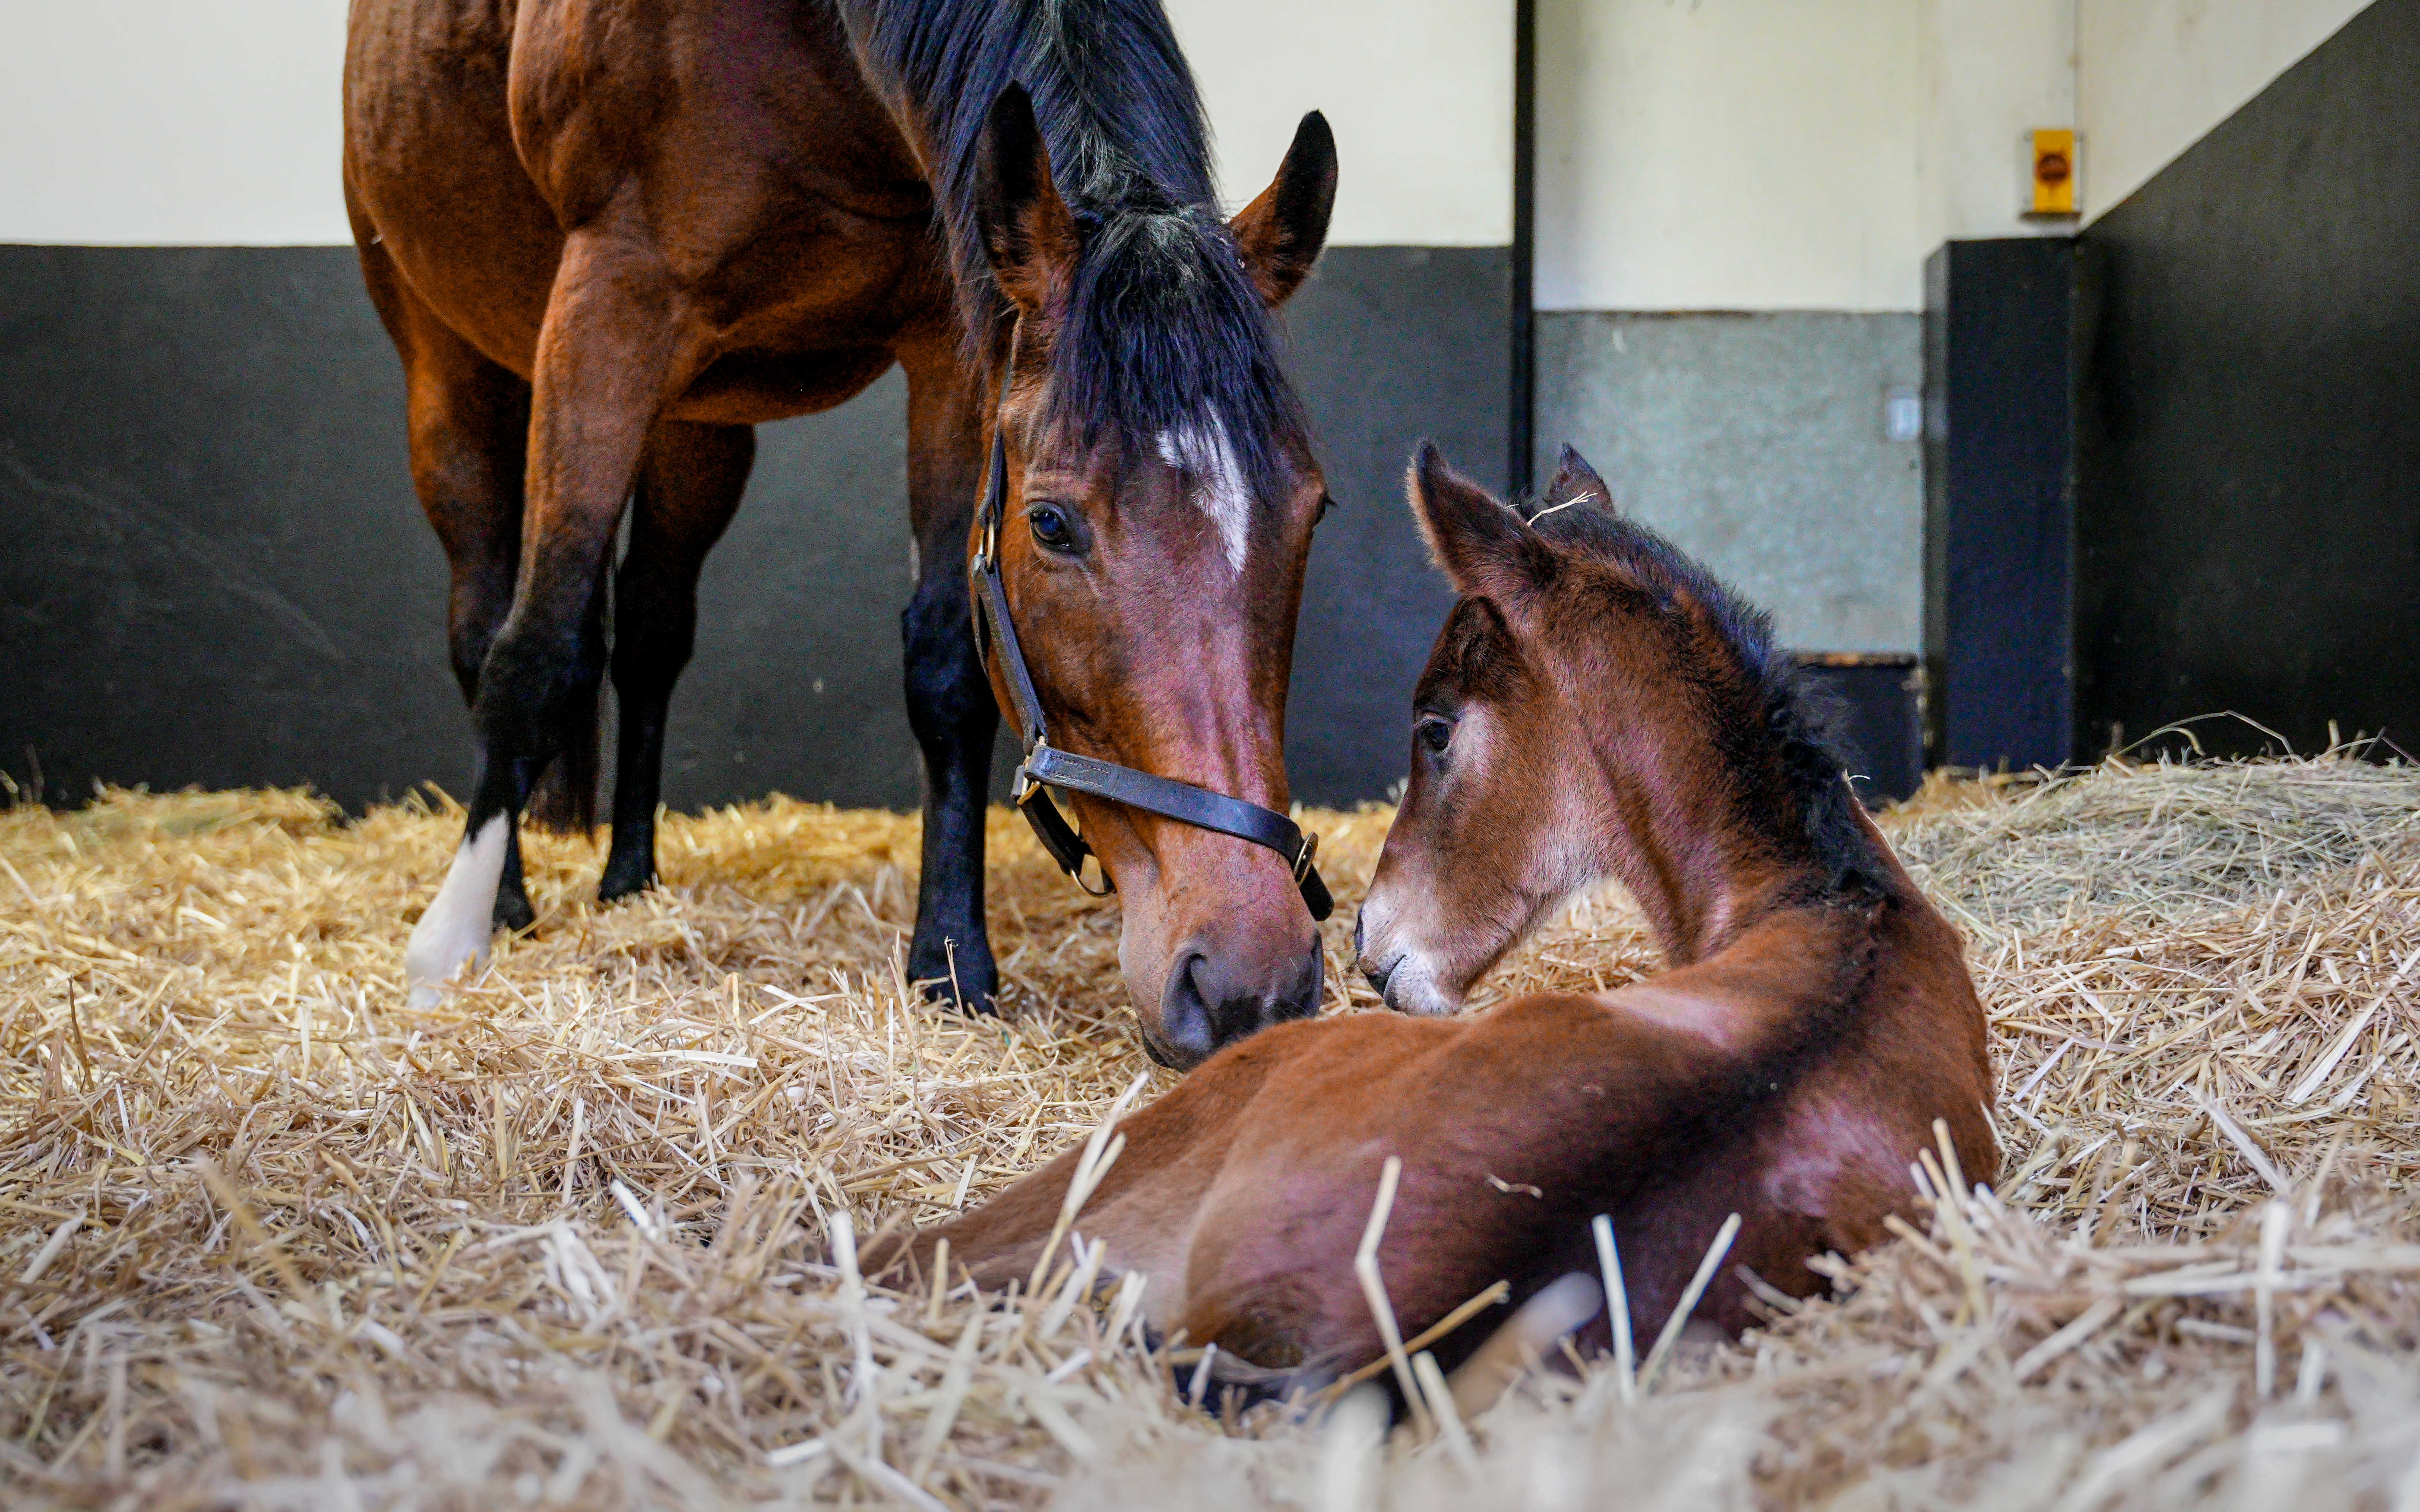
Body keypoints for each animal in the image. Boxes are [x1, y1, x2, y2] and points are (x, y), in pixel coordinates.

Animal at [344, 0, 1341, 1066]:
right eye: (1050, 523)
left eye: (1311, 510)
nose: (1248, 981)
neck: (813, 52)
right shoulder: (607, 300)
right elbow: (537, 651)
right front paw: (449, 950)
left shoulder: (950, 342)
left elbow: (947, 667)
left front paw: (951, 962)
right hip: (452, 366)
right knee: (485, 626)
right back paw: (512, 901)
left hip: (697, 429)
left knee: (651, 636)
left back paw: (631, 884)